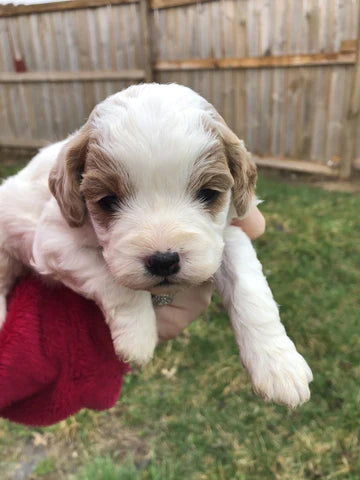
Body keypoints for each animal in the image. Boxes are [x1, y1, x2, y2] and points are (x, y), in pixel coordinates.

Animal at [0, 84, 312, 406]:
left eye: (208, 193)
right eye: (107, 201)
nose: (164, 260)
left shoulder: (227, 233)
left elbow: (249, 288)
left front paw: (278, 363)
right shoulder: (54, 241)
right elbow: (113, 283)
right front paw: (138, 336)